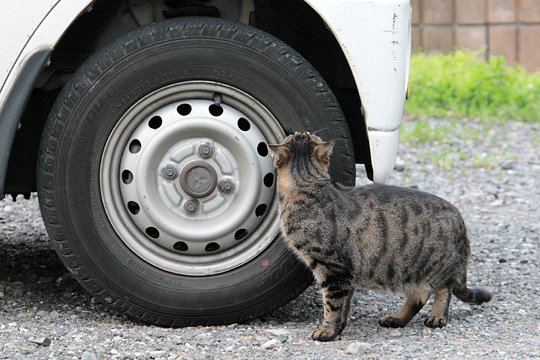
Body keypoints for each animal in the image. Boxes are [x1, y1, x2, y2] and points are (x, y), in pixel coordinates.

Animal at [268, 131, 492, 340]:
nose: (299, 131)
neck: (308, 187)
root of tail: (459, 218)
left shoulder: (333, 270)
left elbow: (332, 305)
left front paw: (327, 330)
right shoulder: (347, 274)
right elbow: (344, 304)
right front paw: (340, 326)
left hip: (435, 266)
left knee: (444, 289)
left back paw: (437, 316)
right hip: (410, 271)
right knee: (418, 297)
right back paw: (396, 319)